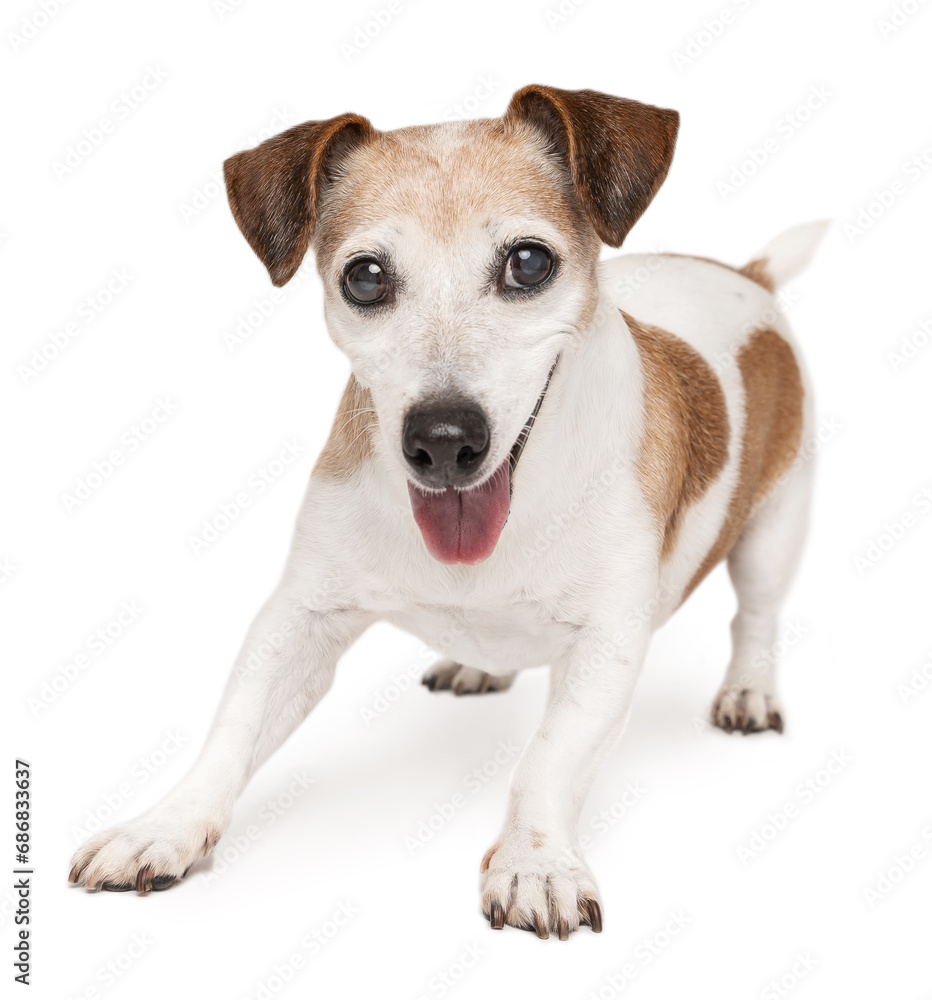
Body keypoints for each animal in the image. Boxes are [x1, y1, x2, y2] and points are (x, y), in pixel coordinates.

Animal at [69, 84, 828, 936]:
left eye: (528, 262)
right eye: (365, 277)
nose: (442, 440)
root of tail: (745, 273)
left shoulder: (608, 642)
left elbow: (549, 758)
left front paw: (535, 863)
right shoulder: (300, 616)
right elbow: (233, 729)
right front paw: (165, 826)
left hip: (775, 529)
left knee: (755, 616)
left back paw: (749, 691)